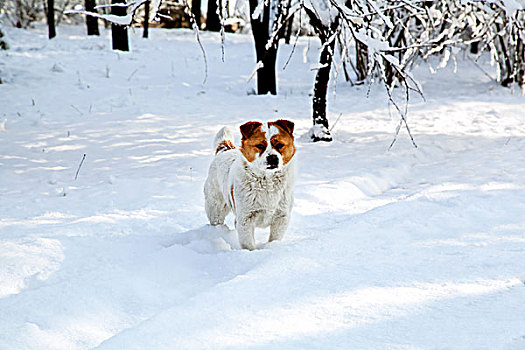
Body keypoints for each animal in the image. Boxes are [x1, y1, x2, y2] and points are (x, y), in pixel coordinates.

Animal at [204, 119, 294, 249]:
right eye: (260, 145)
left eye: (279, 145)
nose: (272, 157)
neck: (267, 183)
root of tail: (225, 150)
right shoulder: (245, 219)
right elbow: (248, 245)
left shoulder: (281, 217)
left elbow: (274, 239)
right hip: (216, 206)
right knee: (216, 219)